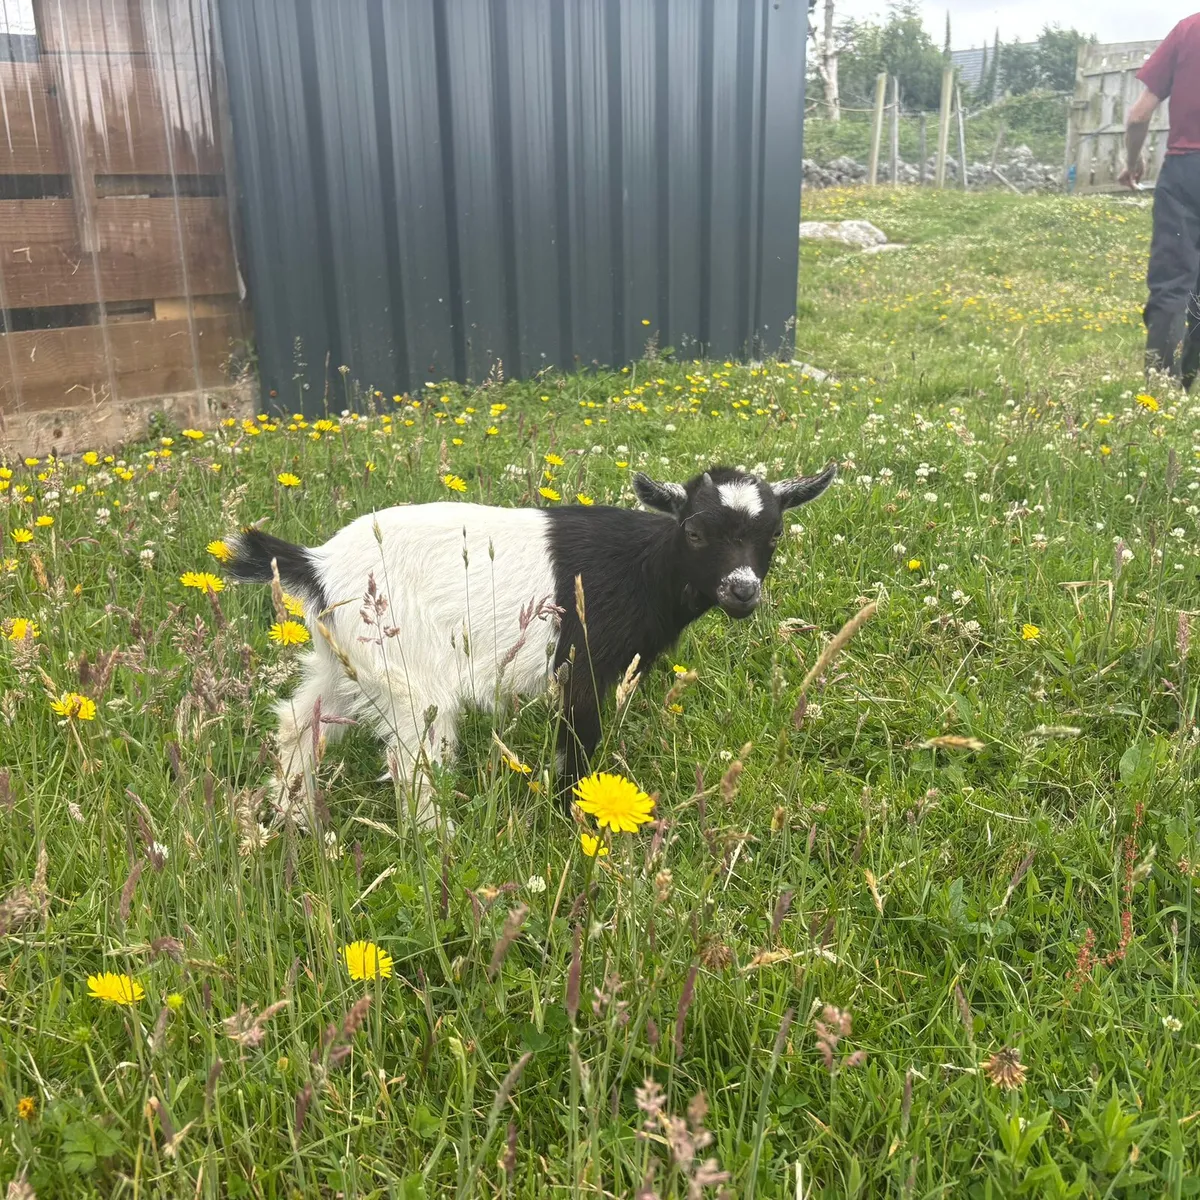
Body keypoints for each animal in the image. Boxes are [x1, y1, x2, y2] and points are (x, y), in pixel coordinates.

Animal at [226, 462, 837, 828]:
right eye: (693, 531)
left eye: (774, 534)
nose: (742, 590)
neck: (643, 568)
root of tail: (318, 565)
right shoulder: (582, 664)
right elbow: (578, 742)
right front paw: (576, 815)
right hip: (406, 672)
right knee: (412, 758)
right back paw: (439, 837)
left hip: (344, 660)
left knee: (299, 721)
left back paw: (294, 814)